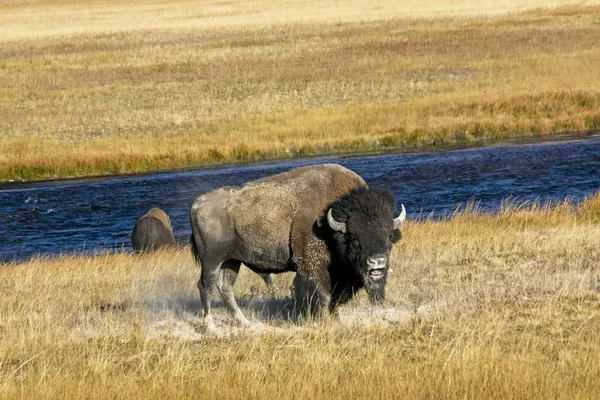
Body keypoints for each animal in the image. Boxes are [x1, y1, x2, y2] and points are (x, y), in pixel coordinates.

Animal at [191, 162, 408, 332]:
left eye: (389, 236)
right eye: (354, 238)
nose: (377, 262)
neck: (329, 219)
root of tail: (196, 205)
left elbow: (336, 297)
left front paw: (335, 319)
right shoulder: (313, 265)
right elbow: (323, 295)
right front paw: (323, 320)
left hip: (232, 261)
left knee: (225, 288)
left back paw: (245, 323)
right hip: (211, 260)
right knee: (206, 287)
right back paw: (211, 328)